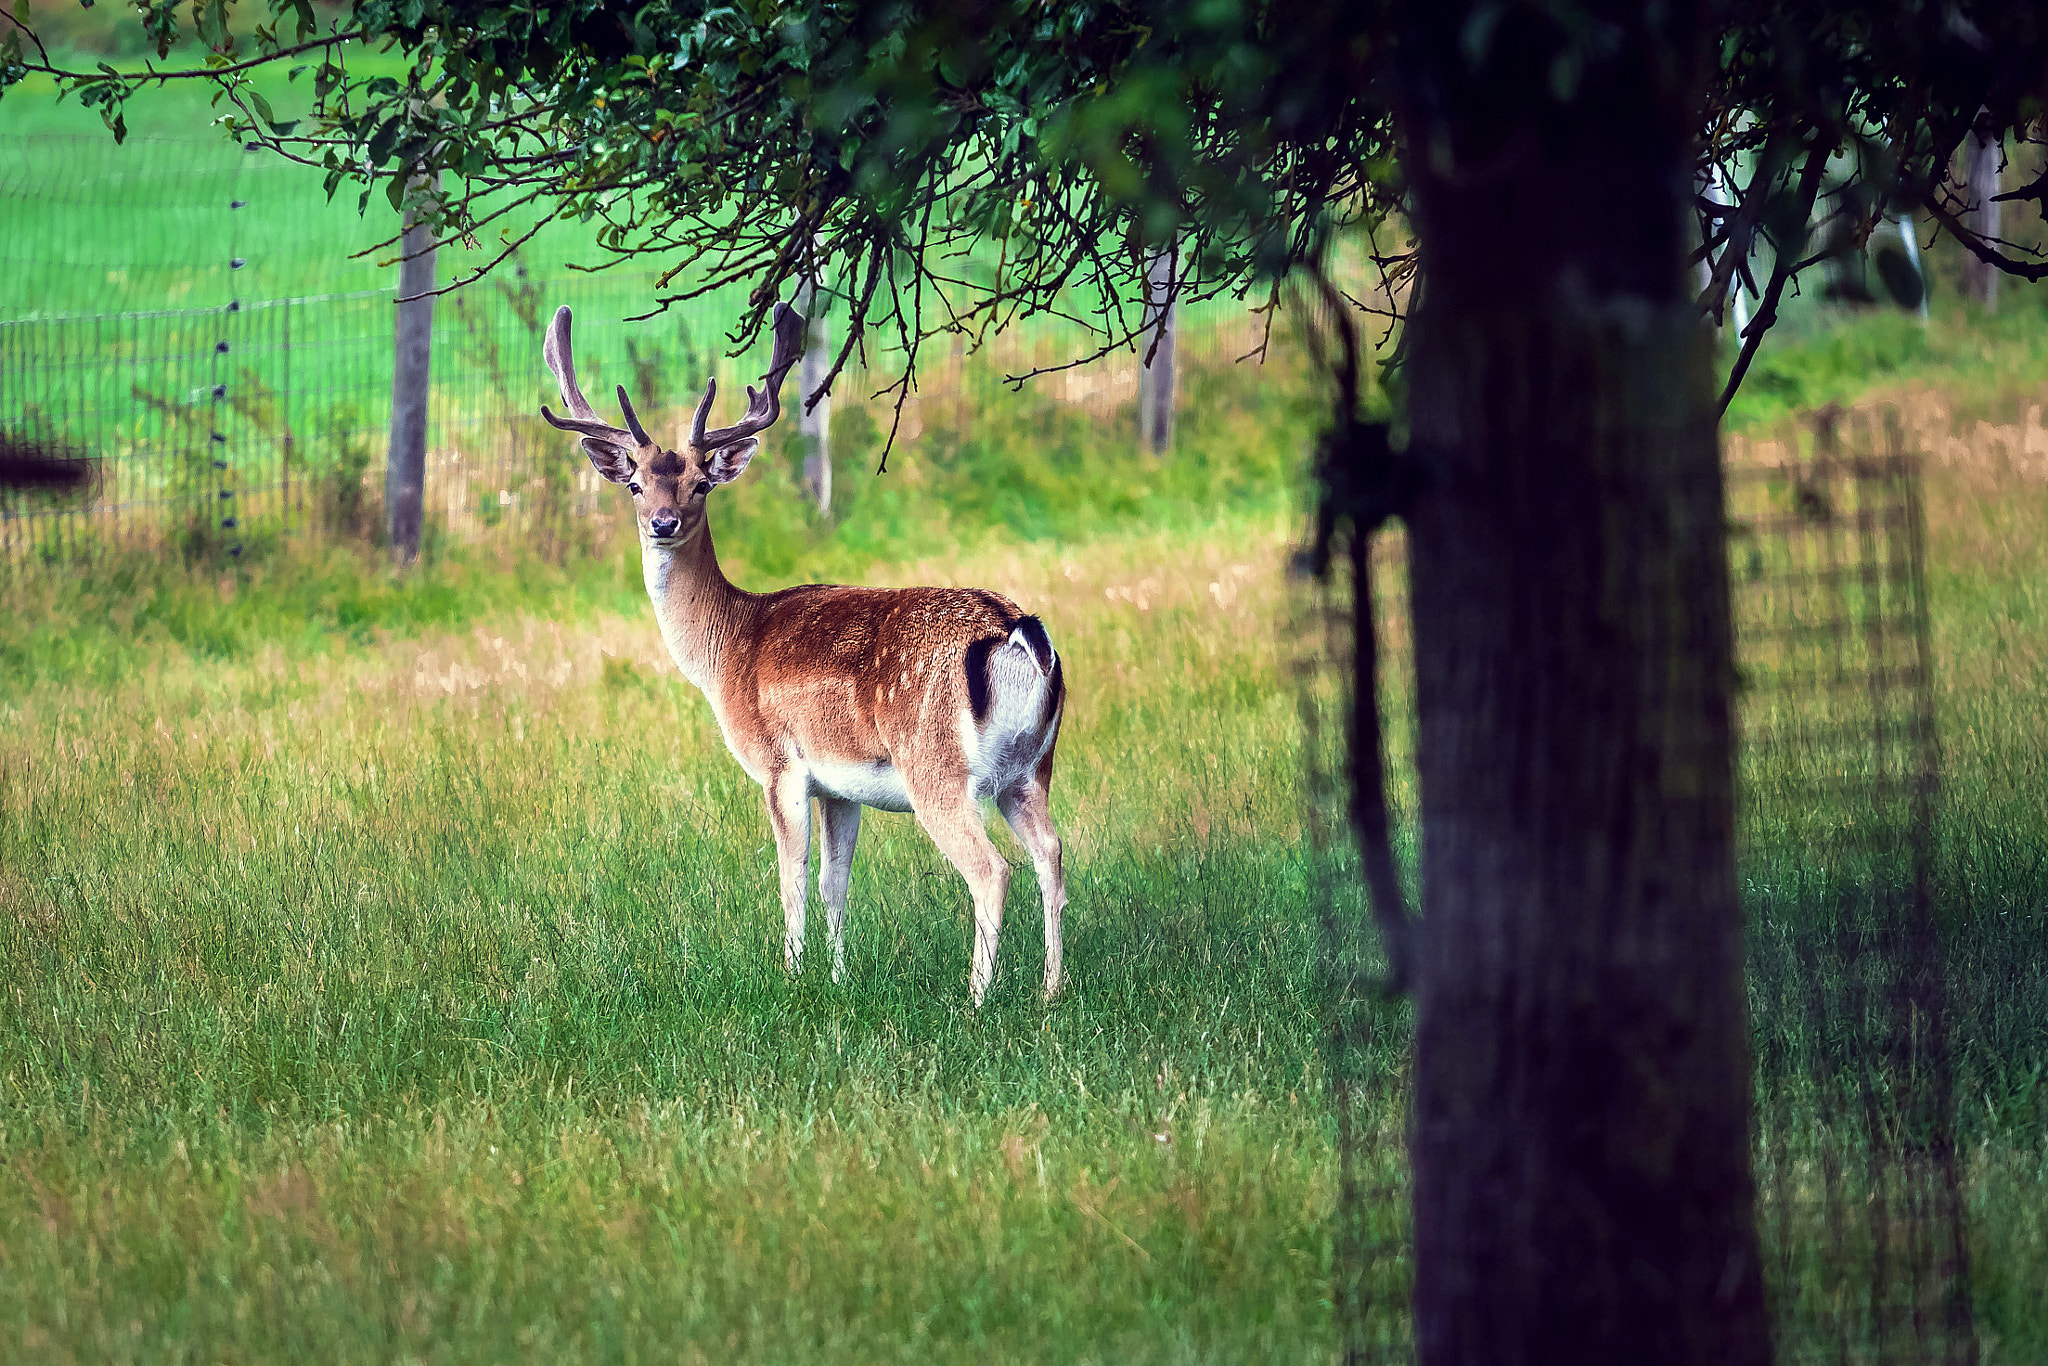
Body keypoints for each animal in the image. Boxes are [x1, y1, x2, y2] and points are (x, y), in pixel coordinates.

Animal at [540, 301, 1073, 1003]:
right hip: (1030, 770)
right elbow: (834, 883)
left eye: (700, 484)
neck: (727, 648)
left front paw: (792, 976)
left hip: (936, 768)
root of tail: (1017, 632)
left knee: (992, 871)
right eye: (634, 485)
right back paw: (1050, 992)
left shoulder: (779, 764)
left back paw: (976, 1000)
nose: (663, 523)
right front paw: (839, 978)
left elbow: (790, 878)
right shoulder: (840, 787)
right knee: (1053, 857)